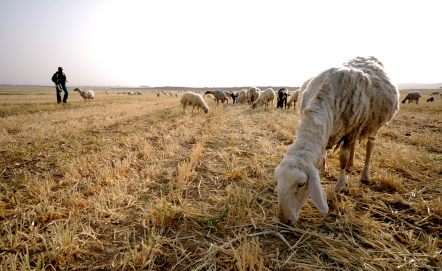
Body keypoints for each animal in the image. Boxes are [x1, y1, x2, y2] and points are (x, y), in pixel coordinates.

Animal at [274, 55, 398, 225]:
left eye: (301, 184)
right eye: (277, 181)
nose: (284, 220)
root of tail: (369, 58)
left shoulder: (350, 130)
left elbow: (343, 158)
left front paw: (340, 183)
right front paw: (324, 166)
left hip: (371, 125)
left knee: (369, 147)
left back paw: (365, 175)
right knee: (353, 146)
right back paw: (352, 165)